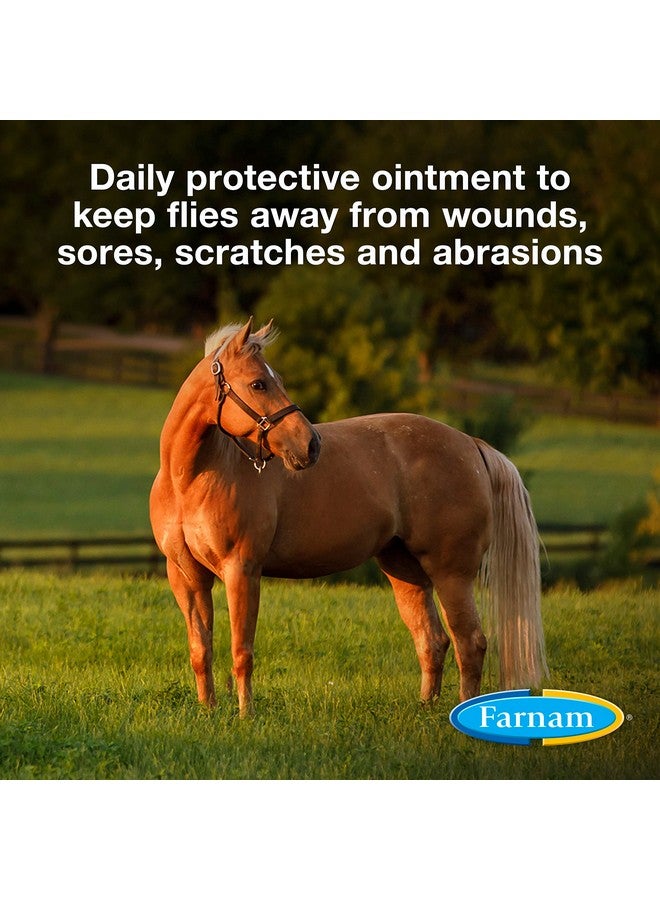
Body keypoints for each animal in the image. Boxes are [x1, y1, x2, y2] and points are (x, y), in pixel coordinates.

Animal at [150, 318, 547, 717]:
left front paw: (246, 716)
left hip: (452, 573)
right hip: (404, 570)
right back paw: (425, 706)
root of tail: (470, 444)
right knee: (432, 640)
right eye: (258, 383)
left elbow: (241, 651)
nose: (310, 445)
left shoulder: (242, 569)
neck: (192, 478)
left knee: (470, 642)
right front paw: (208, 711)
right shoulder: (186, 576)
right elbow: (200, 649)